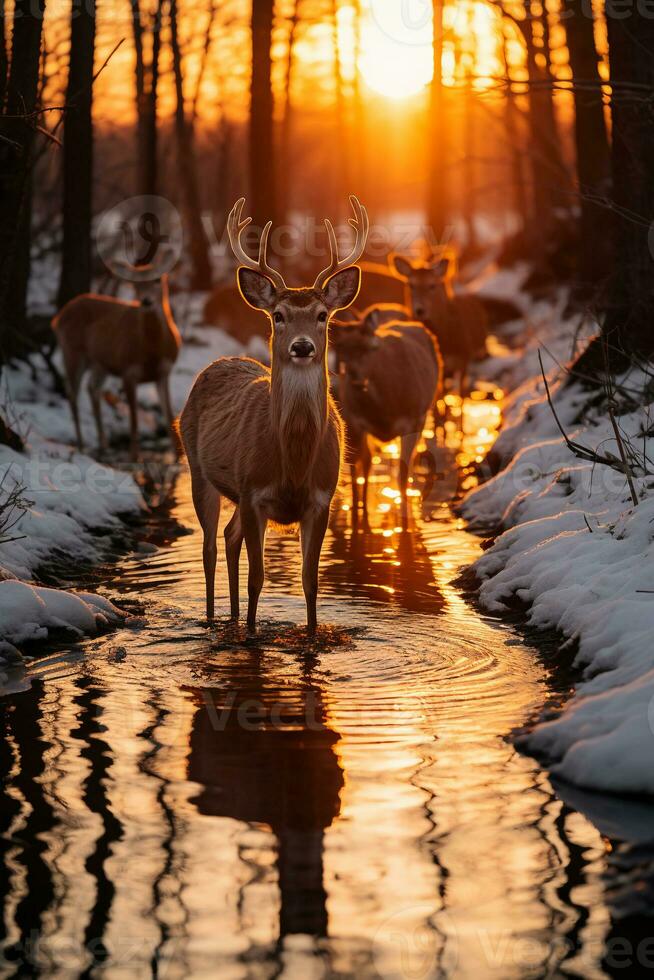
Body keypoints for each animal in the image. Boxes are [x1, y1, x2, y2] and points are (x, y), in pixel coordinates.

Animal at [52, 266, 182, 462]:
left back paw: (103, 444)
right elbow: (134, 415)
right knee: (73, 394)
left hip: (100, 364)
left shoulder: (163, 373)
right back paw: (81, 445)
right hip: (72, 353)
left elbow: (168, 413)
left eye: (158, 280)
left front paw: (177, 456)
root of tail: (58, 317)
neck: (151, 353)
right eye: (135, 283)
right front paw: (134, 456)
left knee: (92, 388)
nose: (146, 301)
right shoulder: (128, 370)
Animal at [179, 195, 368, 632]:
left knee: (228, 537)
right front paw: (251, 632)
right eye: (278, 315)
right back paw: (214, 619)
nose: (301, 346)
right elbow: (258, 579)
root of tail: (218, 362)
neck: (293, 463)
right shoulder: (253, 493)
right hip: (198, 469)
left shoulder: (322, 499)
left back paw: (230, 618)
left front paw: (311, 632)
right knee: (209, 548)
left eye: (322, 315)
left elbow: (310, 581)